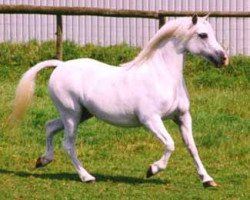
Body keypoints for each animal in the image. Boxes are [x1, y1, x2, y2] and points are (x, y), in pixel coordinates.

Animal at [10, 14, 229, 187]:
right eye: (203, 35)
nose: (224, 59)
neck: (162, 75)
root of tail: (60, 66)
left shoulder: (182, 117)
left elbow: (192, 147)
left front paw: (207, 180)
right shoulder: (151, 120)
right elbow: (170, 144)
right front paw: (152, 169)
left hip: (82, 114)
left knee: (49, 126)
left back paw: (43, 160)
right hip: (71, 115)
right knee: (68, 144)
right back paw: (87, 177)